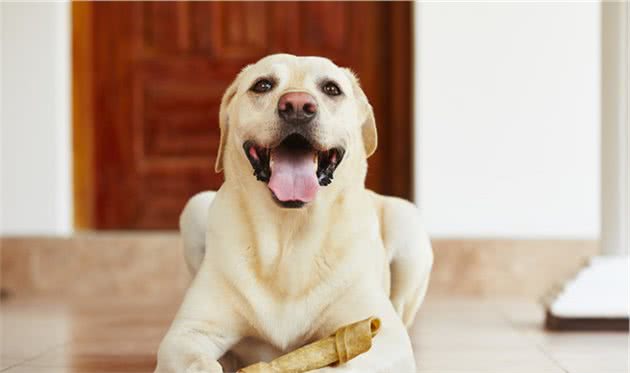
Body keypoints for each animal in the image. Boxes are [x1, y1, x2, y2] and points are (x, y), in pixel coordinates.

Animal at [157, 53, 434, 370]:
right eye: (262, 85)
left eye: (331, 89)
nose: (298, 106)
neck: (288, 236)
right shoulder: (187, 333)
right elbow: (198, 362)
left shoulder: (386, 338)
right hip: (195, 207)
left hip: (407, 222)